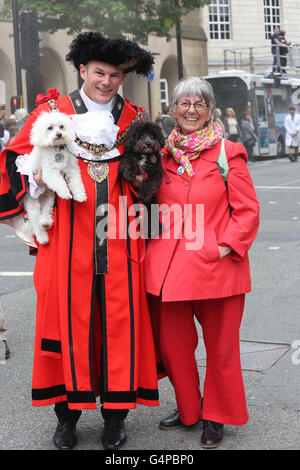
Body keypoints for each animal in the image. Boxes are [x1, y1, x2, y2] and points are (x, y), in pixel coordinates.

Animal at [13, 112, 87, 246]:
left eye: (61, 126)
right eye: (50, 128)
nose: (59, 134)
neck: (56, 148)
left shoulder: (72, 169)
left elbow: (76, 183)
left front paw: (80, 195)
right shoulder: (50, 173)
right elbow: (60, 183)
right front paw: (65, 193)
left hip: (49, 197)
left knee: (46, 211)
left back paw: (46, 222)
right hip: (33, 204)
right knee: (36, 222)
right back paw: (42, 237)